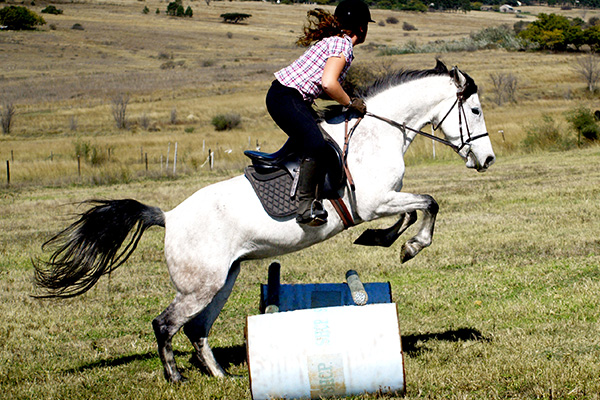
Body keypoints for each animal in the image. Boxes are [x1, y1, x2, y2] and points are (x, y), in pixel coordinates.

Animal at [34, 59, 496, 382]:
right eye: (474, 110)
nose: (487, 159)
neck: (375, 135)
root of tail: (169, 216)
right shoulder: (375, 201)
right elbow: (429, 204)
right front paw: (408, 246)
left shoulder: (383, 202)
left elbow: (417, 209)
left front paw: (384, 240)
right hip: (200, 285)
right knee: (165, 324)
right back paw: (176, 377)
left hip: (223, 280)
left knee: (196, 330)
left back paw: (222, 376)